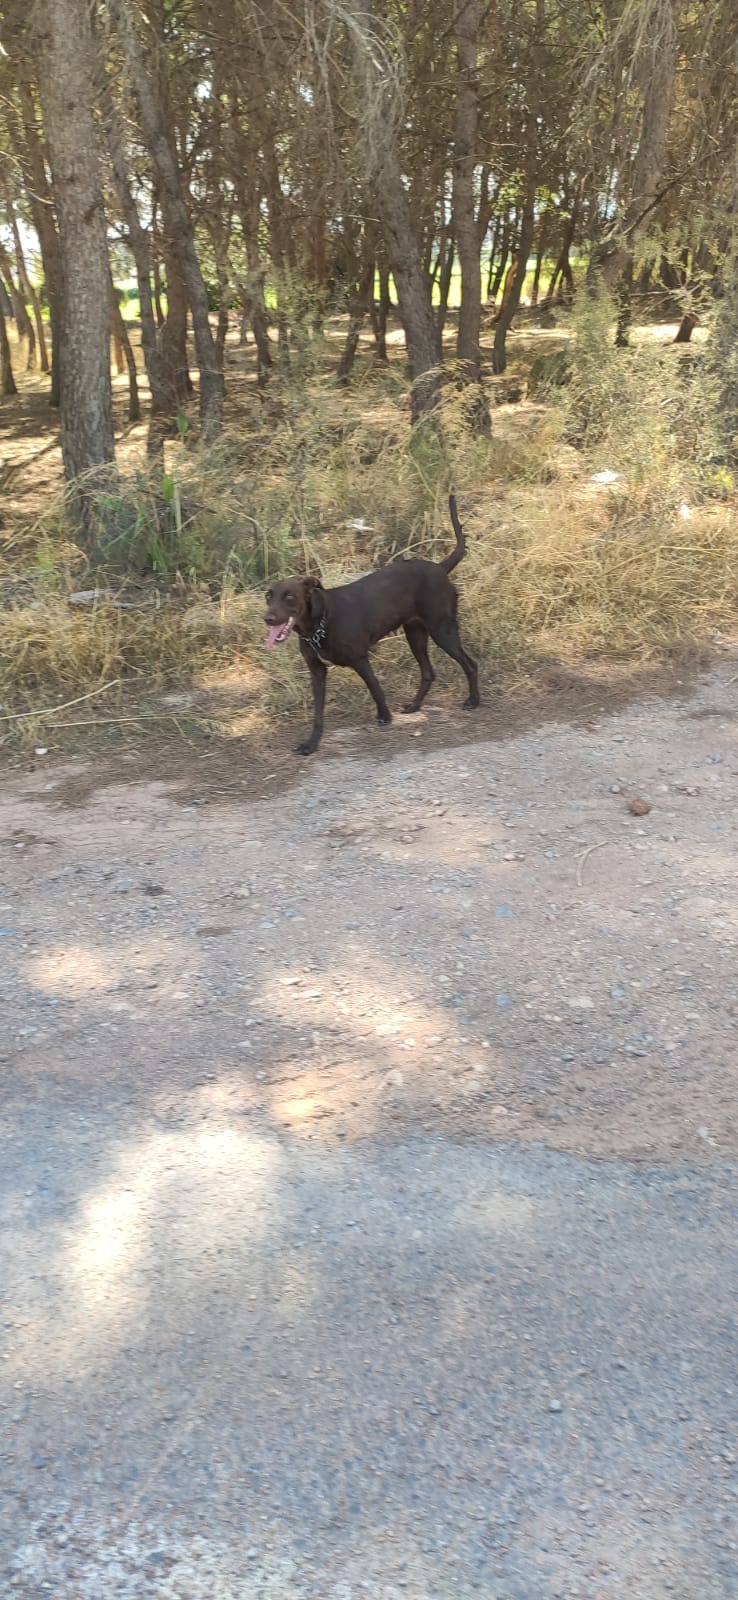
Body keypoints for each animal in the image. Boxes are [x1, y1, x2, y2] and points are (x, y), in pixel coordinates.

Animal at [262, 492, 477, 755]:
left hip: (442, 630)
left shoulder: (360, 660)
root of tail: (440, 567)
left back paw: (474, 701)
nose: (268, 619)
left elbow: (375, 688)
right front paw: (311, 743)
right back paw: (415, 706)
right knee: (428, 672)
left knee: (471, 664)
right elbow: (318, 713)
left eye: (290, 597)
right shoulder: (317, 672)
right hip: (415, 634)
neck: (318, 625)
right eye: (269, 596)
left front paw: (385, 717)